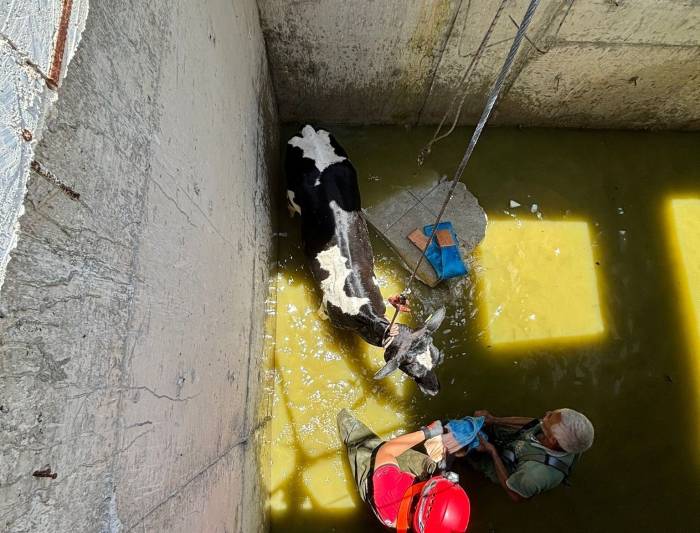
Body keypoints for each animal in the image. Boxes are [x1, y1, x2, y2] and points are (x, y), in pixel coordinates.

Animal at [286, 122, 446, 392]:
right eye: (412, 371)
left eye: (436, 357)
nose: (435, 389)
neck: (364, 312)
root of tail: (308, 129)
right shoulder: (327, 312)